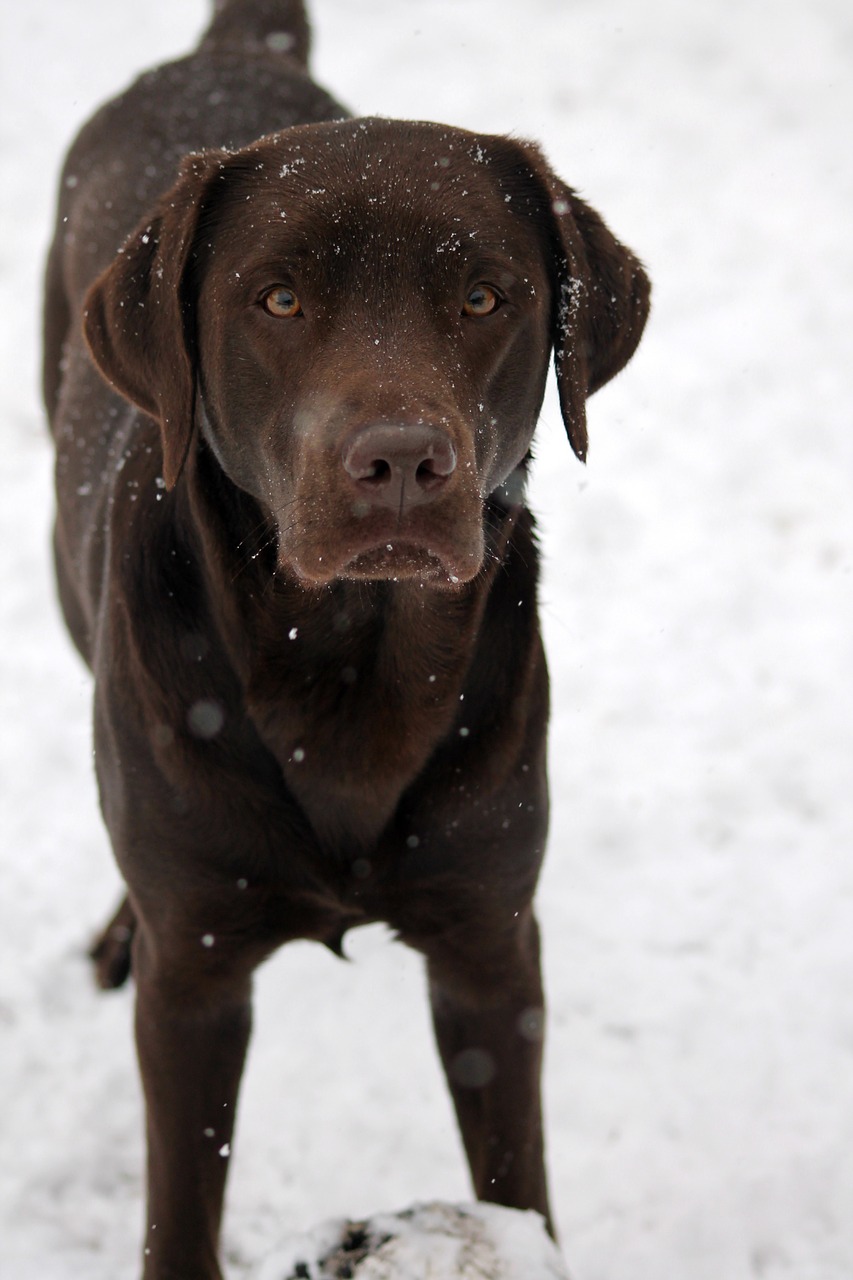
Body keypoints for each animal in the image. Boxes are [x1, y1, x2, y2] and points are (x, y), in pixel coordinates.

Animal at [44, 2, 645, 1269]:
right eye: (276, 300)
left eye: (484, 296)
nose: (402, 461)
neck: (348, 668)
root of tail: (229, 51)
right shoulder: (197, 977)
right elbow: (182, 1198)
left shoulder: (490, 944)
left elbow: (516, 1170)